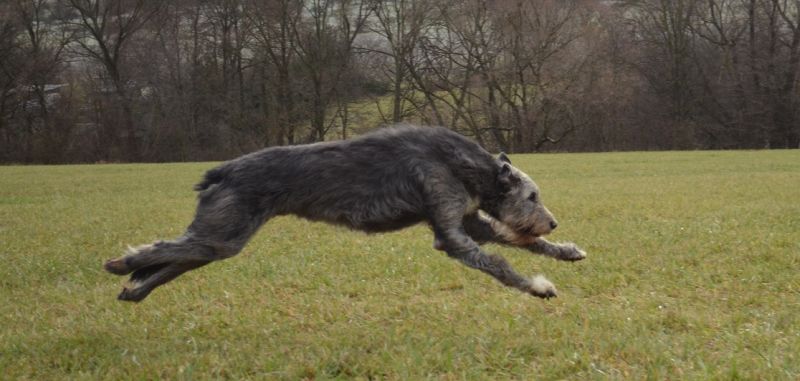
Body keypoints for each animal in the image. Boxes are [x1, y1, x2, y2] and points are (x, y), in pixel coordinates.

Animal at [103, 126, 584, 302]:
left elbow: (517, 241)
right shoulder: (451, 232)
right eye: (533, 196)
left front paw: (565, 249)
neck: (468, 165)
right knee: (166, 248)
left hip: (223, 236)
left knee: (178, 256)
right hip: (225, 230)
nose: (554, 220)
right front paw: (537, 286)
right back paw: (122, 264)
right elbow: (499, 262)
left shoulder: (468, 222)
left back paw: (135, 289)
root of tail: (223, 171)